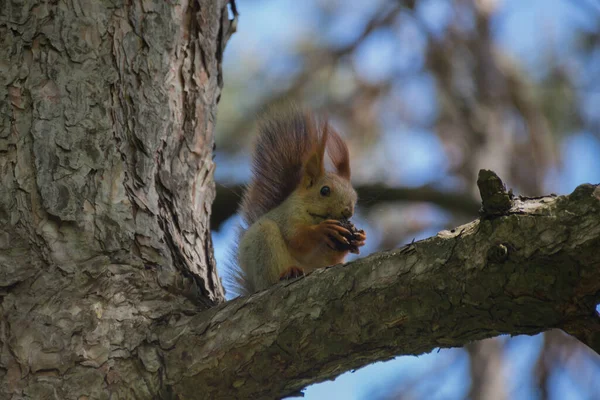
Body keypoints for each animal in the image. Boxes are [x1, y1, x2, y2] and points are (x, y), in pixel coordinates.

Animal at [227, 108, 364, 296]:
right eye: (324, 190)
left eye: (355, 197)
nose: (347, 211)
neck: (313, 215)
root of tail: (254, 286)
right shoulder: (288, 216)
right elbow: (297, 237)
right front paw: (322, 230)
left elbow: (331, 256)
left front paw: (359, 238)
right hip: (264, 244)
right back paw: (289, 272)